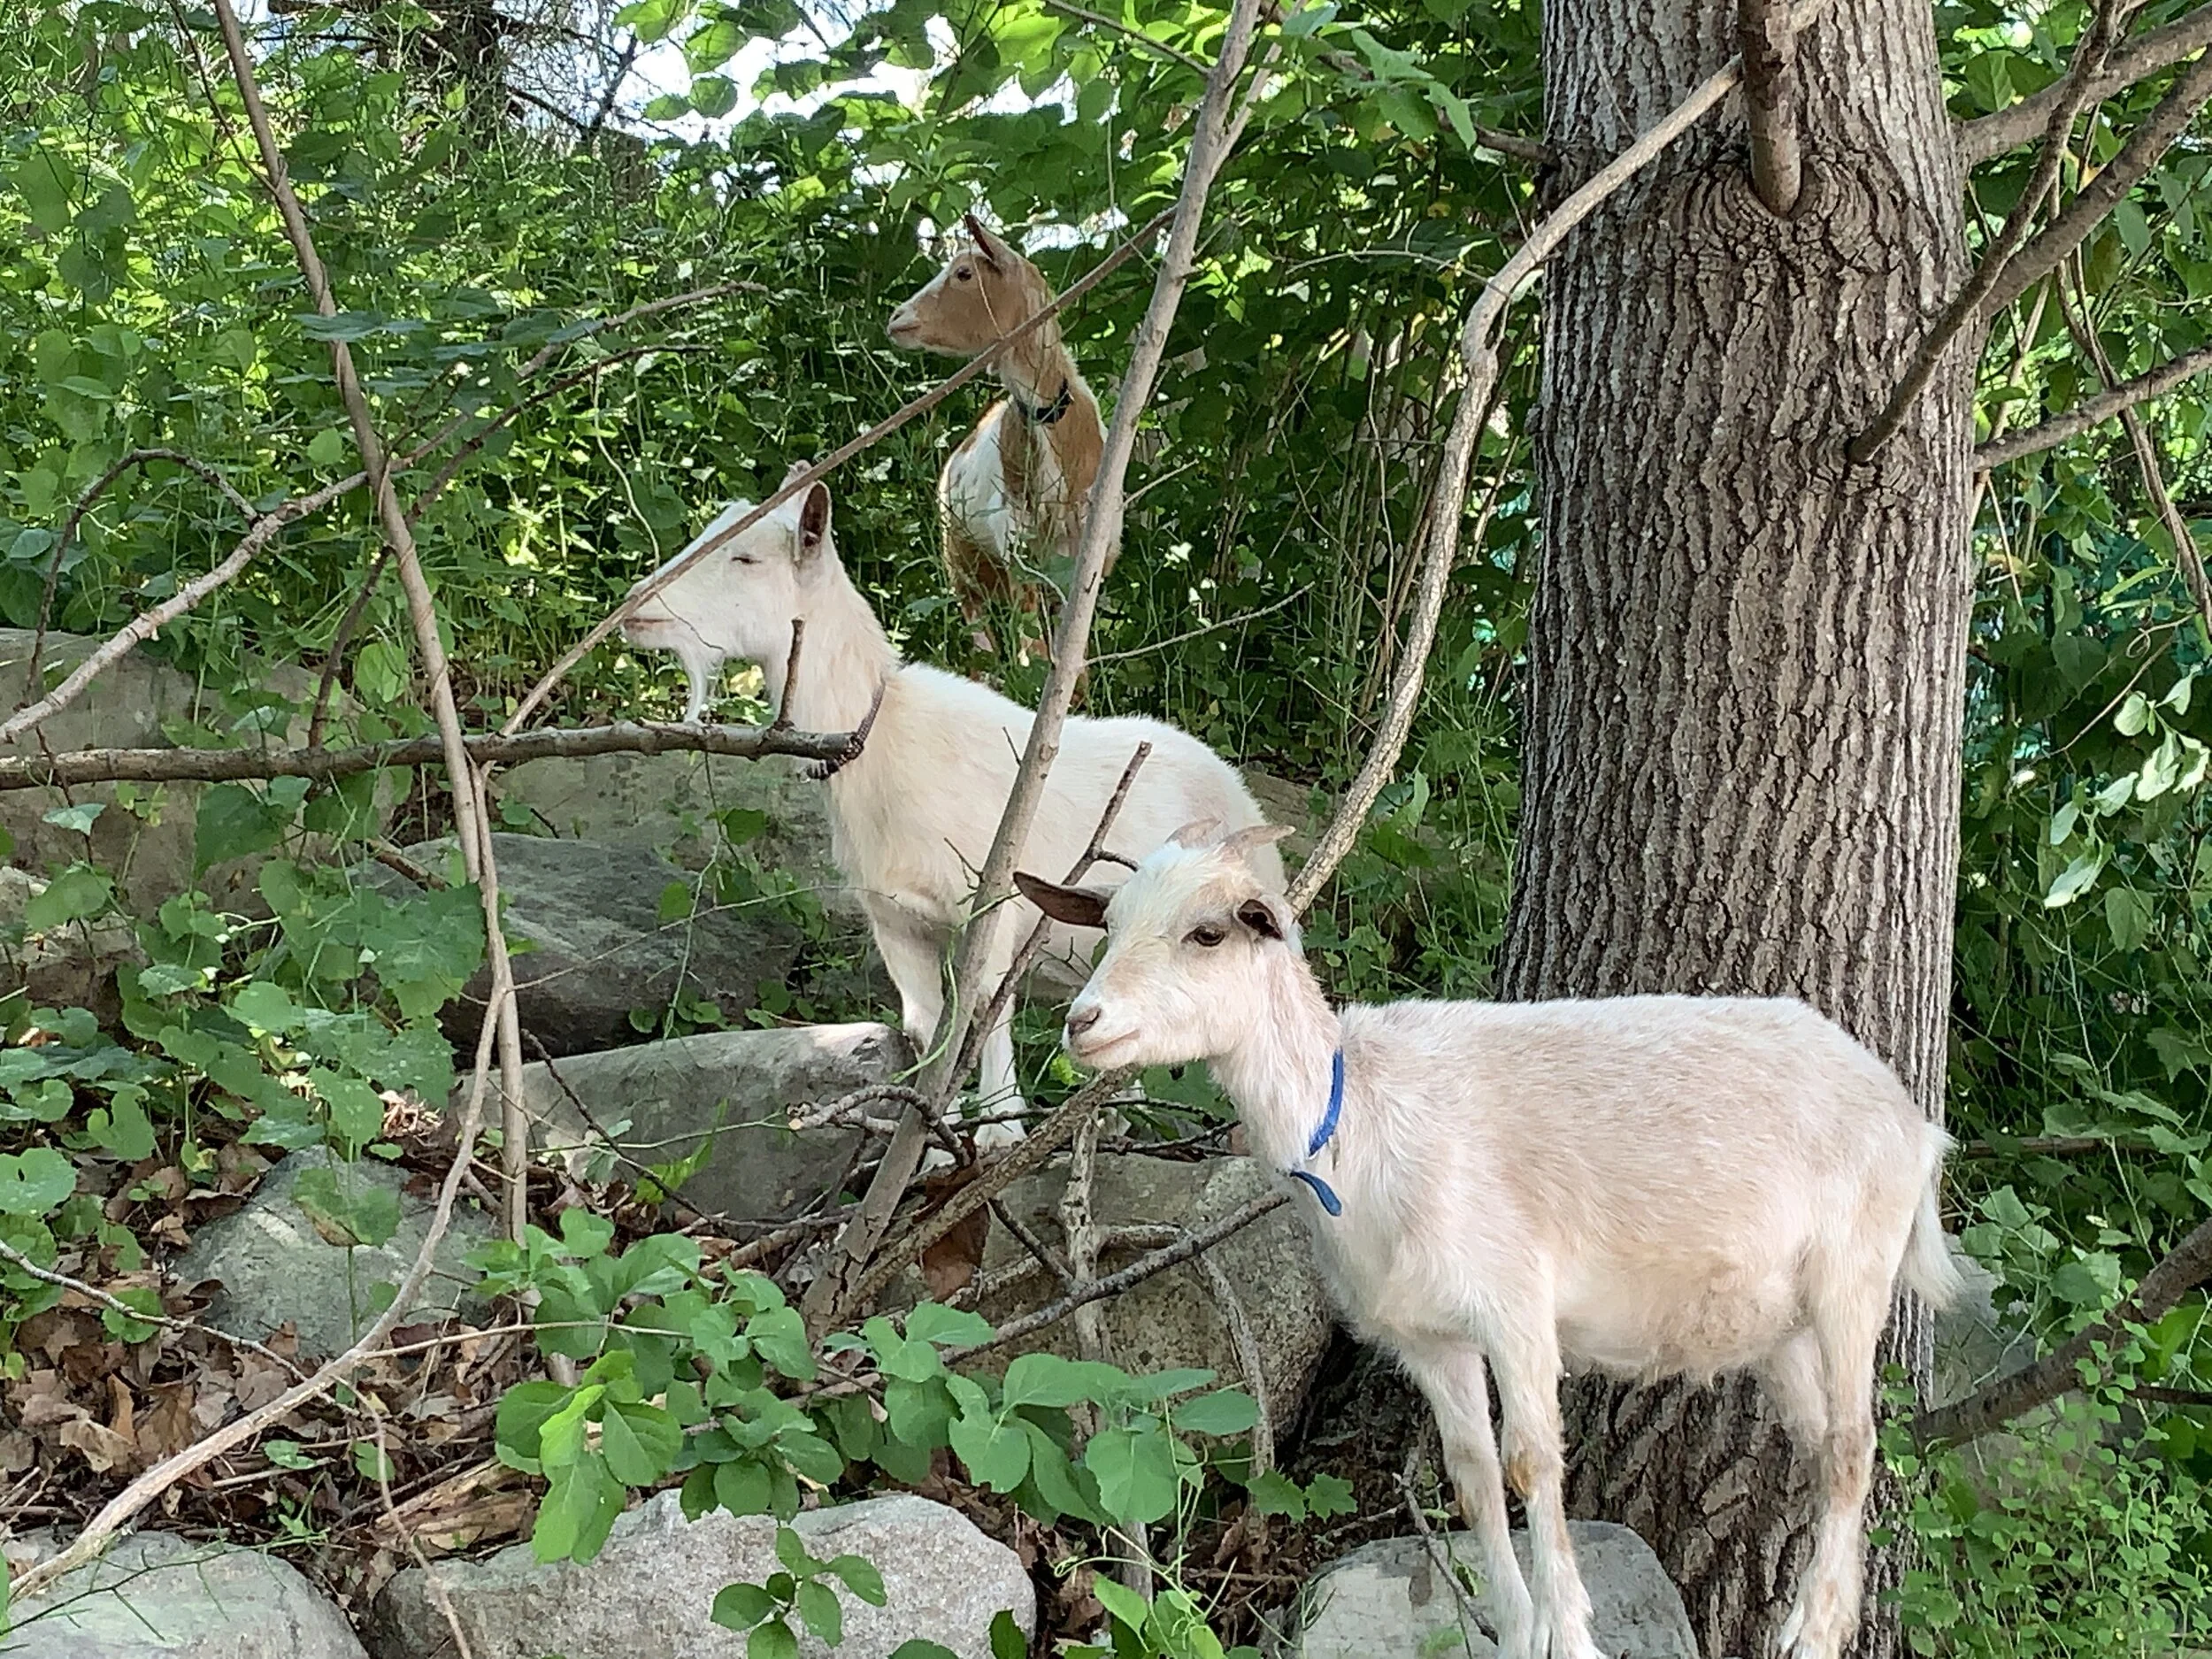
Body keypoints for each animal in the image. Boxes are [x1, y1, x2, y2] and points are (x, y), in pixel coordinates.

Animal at [618, 478, 1284, 1145]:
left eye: (746, 558)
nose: (633, 606)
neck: (880, 739)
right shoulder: (895, 918)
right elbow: (925, 1022)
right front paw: (934, 1141)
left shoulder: (991, 901)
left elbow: (985, 1009)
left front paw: (998, 1130)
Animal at [887, 214, 1108, 660]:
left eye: (964, 273)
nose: (897, 317)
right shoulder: (1016, 547)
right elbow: (1034, 649)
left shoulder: (1084, 558)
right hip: (964, 563)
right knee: (983, 646)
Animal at [1016, 824, 1965, 1659]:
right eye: (1107, 923)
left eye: (1208, 932)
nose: (1082, 1021)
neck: (1358, 1125)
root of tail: (1912, 1118)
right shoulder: (1425, 1336)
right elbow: (1471, 1478)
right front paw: (1516, 1629)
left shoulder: (1516, 1304)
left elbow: (1532, 1464)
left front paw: (1571, 1632)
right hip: (1779, 1325)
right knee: (1821, 1447)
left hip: (1854, 1270)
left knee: (1855, 1445)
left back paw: (1813, 1630)